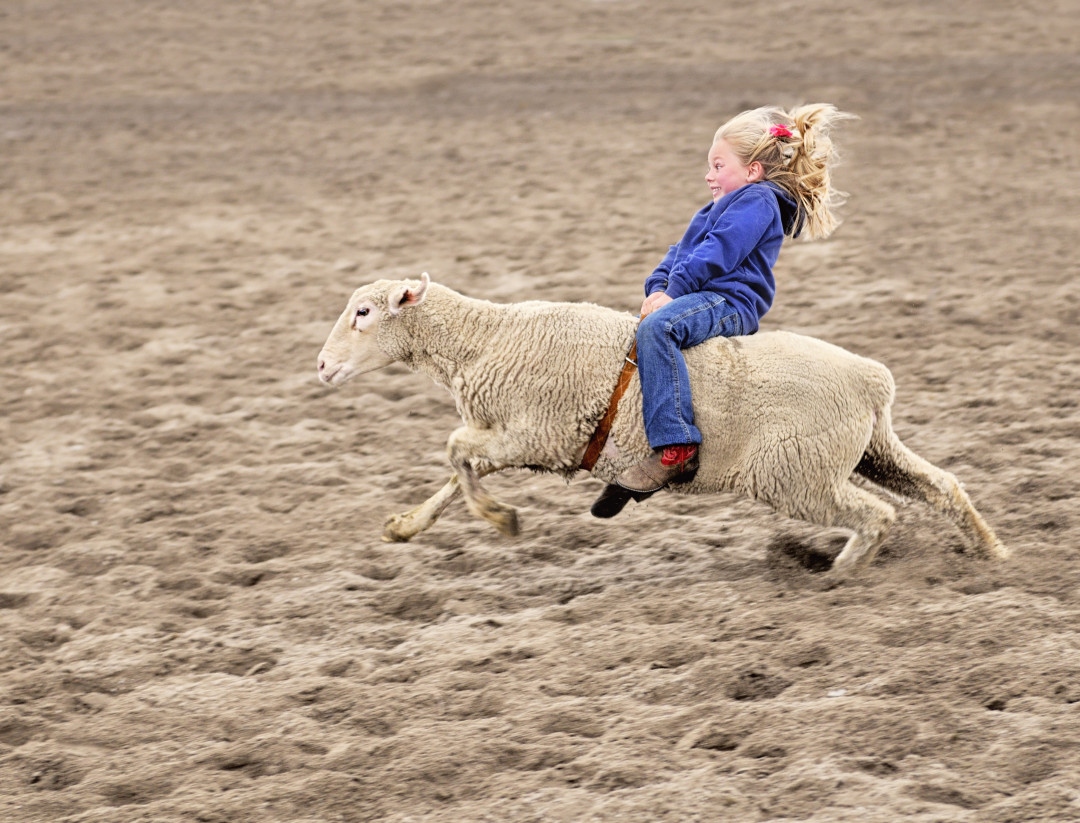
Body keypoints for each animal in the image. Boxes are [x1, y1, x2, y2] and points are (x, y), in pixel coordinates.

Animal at [315, 272, 1006, 574]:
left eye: (364, 312)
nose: (320, 365)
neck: (485, 339)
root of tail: (870, 378)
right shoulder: (519, 440)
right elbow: (454, 472)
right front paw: (405, 526)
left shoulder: (536, 434)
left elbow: (454, 451)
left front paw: (501, 519)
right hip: (867, 452)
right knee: (943, 487)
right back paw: (990, 552)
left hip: (796, 475)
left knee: (878, 517)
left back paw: (838, 575)